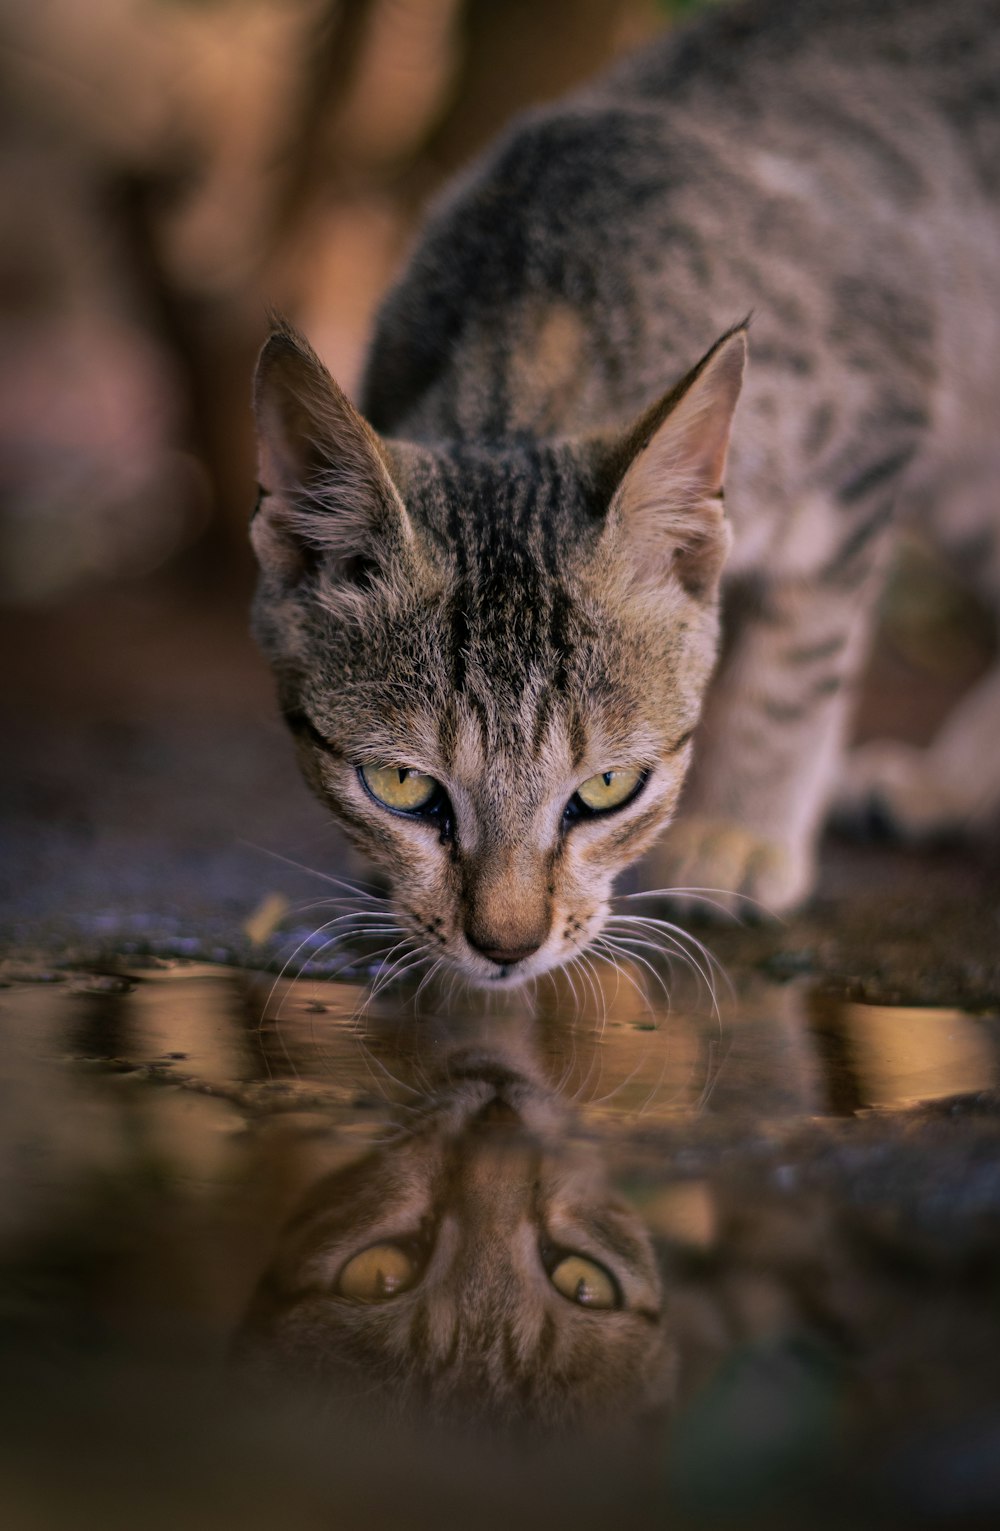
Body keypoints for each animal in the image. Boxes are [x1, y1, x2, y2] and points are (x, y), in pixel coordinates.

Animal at [249, 0, 998, 985]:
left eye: (610, 787)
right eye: (403, 786)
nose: (507, 946)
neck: (541, 325)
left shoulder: (876, 425)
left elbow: (799, 667)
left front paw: (742, 829)